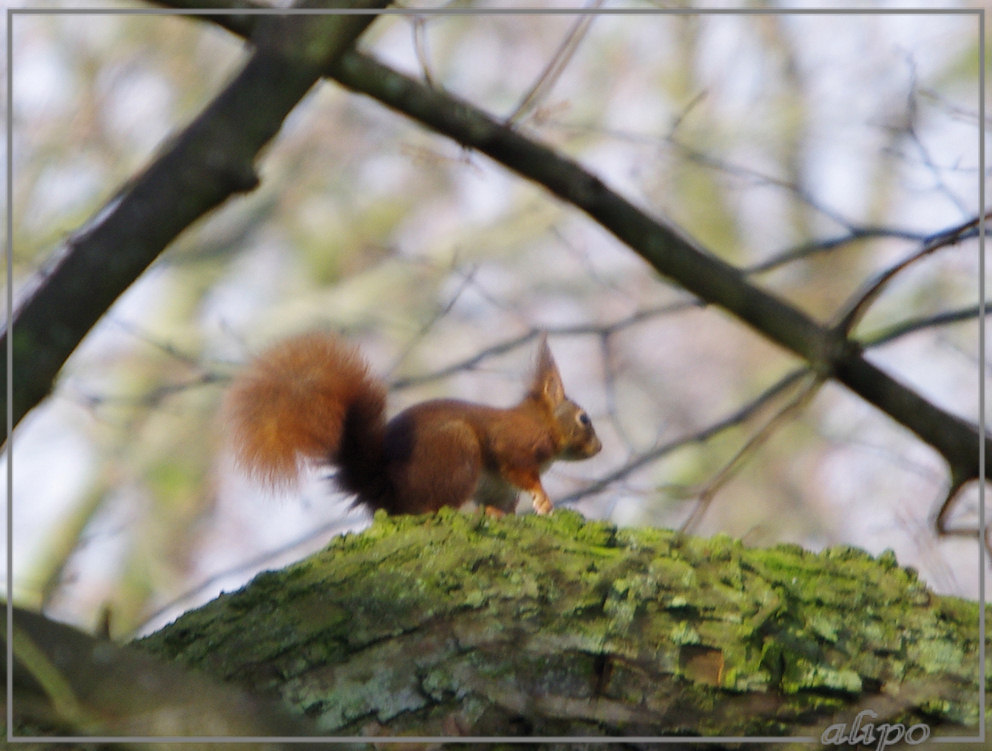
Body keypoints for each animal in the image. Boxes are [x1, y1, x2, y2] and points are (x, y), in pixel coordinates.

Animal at [224, 332, 596, 516]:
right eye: (584, 418)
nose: (600, 447)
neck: (543, 423)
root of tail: (382, 483)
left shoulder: (498, 488)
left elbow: (502, 501)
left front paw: (503, 513)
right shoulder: (515, 445)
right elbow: (521, 471)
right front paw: (542, 498)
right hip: (456, 451)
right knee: (431, 508)